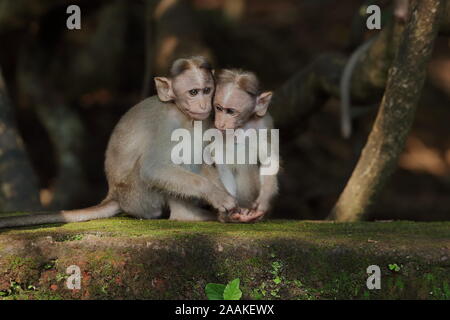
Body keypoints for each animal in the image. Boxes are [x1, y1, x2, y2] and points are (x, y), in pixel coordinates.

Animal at [0, 56, 237, 229]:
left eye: (207, 90)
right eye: (193, 92)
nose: (204, 104)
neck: (183, 114)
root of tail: (114, 194)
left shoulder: (205, 120)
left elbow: (206, 159)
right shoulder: (167, 123)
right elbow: (153, 168)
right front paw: (217, 196)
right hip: (138, 197)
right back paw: (188, 214)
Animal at [210, 69, 278, 222]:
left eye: (231, 111)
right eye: (218, 108)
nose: (221, 123)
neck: (241, 125)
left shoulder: (264, 123)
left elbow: (269, 160)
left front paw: (263, 202)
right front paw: (227, 211)